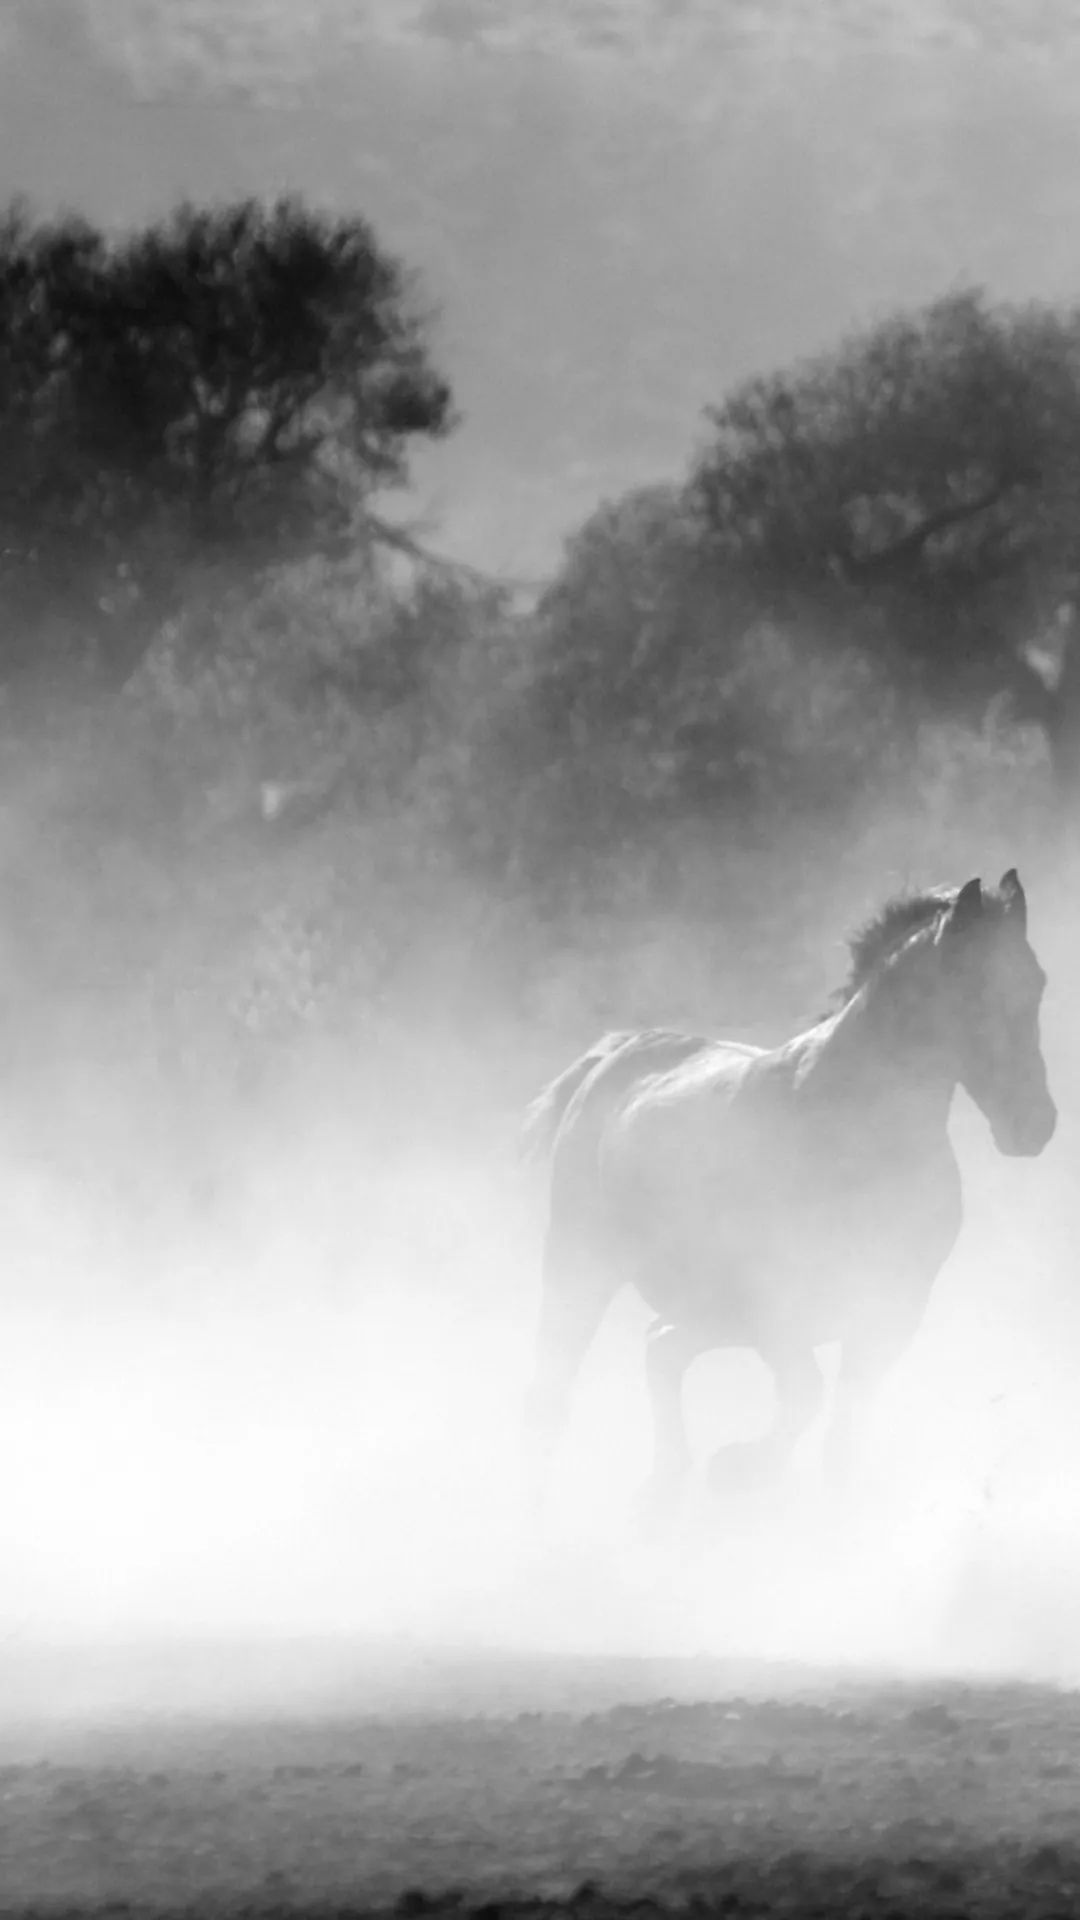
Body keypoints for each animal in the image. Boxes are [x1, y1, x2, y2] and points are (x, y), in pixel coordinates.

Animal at [521, 870, 1056, 1527]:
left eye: (1035, 981)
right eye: (973, 988)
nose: (1034, 1125)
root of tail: (614, 1056)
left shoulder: (890, 1311)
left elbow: (843, 1437)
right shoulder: (776, 1306)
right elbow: (806, 1395)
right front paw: (738, 1470)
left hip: (704, 1309)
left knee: (660, 1348)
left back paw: (659, 1493)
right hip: (581, 1264)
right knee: (555, 1388)